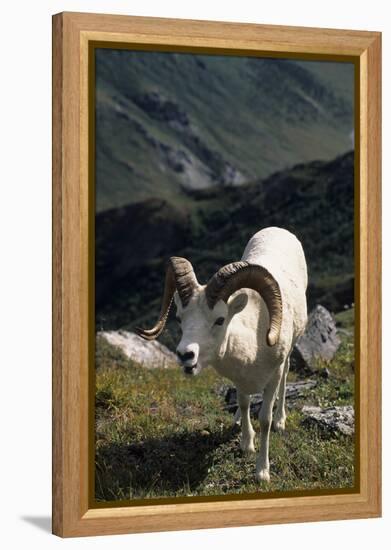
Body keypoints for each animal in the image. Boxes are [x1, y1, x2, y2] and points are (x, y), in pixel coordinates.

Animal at [138, 229, 310, 484]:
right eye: (179, 318)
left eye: (220, 320)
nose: (185, 355)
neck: (254, 340)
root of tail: (278, 230)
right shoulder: (240, 380)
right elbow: (244, 403)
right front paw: (246, 444)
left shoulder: (272, 377)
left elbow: (265, 419)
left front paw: (262, 472)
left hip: (286, 360)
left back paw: (281, 421)